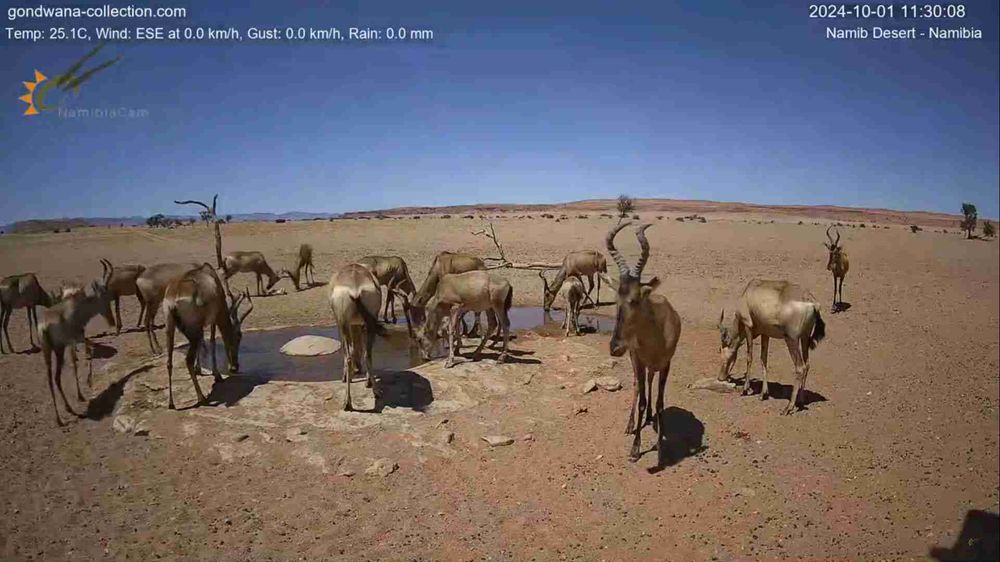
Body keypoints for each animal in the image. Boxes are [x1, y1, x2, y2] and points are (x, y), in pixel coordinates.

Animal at [37, 280, 114, 424]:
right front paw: (82, 392)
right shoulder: (74, 340)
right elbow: (78, 361)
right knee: (57, 377)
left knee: (50, 380)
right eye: (105, 297)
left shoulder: (75, 341)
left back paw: (60, 418)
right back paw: (68, 410)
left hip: (47, 352)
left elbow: (84, 354)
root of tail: (44, 326)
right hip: (59, 350)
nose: (112, 321)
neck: (76, 307)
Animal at [162, 264, 252, 410]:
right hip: (193, 329)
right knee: (188, 359)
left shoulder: (203, 323)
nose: (235, 367)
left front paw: (199, 369)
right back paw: (202, 398)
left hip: (170, 328)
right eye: (238, 337)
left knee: (169, 362)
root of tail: (173, 300)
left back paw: (171, 403)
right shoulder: (214, 318)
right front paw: (217, 375)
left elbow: (203, 341)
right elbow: (212, 341)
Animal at [332, 262, 386, 412]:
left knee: (352, 355)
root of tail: (355, 291)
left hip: (347, 325)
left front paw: (346, 376)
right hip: (368, 325)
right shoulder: (357, 325)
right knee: (366, 354)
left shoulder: (341, 325)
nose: (358, 369)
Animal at [600, 220, 680, 460]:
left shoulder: (666, 364)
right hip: (636, 361)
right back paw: (631, 424)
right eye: (615, 297)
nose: (614, 347)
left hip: (652, 366)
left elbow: (660, 403)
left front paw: (660, 444)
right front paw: (635, 448)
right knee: (638, 386)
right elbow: (643, 399)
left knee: (650, 384)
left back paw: (651, 419)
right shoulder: (639, 360)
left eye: (635, 299)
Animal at [720, 278, 828, 414]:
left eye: (721, 352)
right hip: (804, 337)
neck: (749, 291)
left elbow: (749, 357)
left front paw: (745, 390)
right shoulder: (765, 334)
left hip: (791, 340)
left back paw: (788, 407)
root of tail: (813, 303)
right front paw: (763, 394)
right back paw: (800, 402)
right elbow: (763, 359)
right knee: (807, 365)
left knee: (800, 367)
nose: (720, 377)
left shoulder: (748, 326)